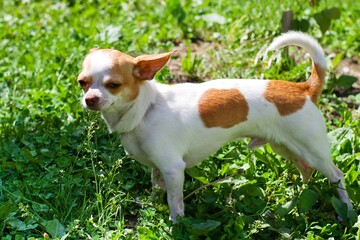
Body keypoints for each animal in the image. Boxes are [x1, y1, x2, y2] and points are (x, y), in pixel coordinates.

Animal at [78, 31, 352, 221]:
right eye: (82, 82)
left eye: (113, 85)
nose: (90, 99)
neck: (145, 109)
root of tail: (303, 88)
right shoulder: (158, 168)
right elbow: (157, 189)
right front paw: (152, 205)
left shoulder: (173, 169)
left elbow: (174, 200)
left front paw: (176, 223)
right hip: (285, 147)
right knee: (307, 169)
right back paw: (302, 192)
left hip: (311, 148)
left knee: (336, 175)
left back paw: (347, 210)